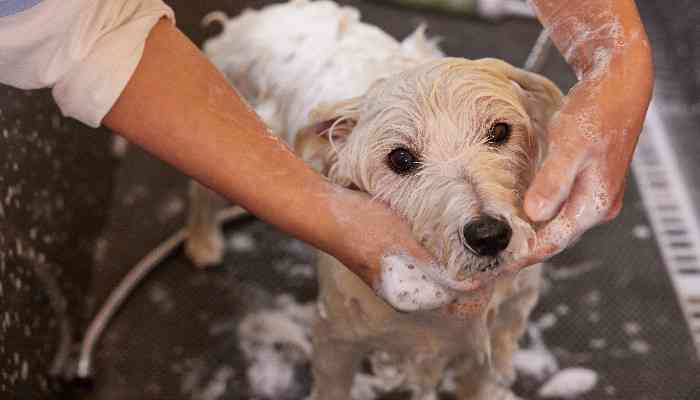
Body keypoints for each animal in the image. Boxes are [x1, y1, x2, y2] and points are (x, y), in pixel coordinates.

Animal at [187, 1, 564, 398]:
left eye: (500, 131)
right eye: (400, 158)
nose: (488, 235)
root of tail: (266, 15)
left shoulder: (506, 319)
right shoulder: (336, 338)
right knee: (202, 192)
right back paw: (202, 243)